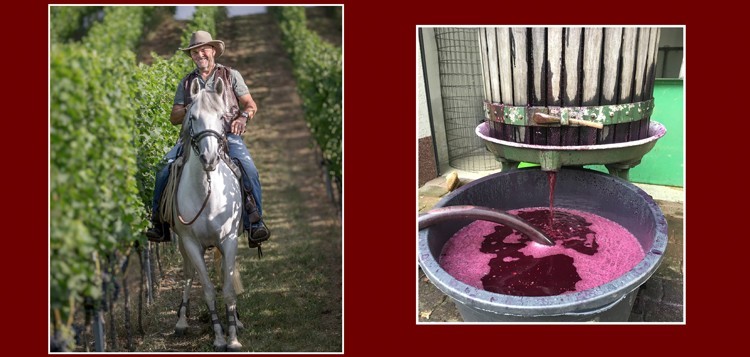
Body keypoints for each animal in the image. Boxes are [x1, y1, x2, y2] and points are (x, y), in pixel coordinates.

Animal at [170, 77, 244, 350]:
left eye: (222, 116)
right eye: (192, 117)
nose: (210, 158)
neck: (208, 191)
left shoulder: (229, 239)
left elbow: (228, 287)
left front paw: (233, 337)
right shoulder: (191, 243)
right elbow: (208, 290)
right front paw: (219, 336)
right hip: (183, 245)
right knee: (189, 274)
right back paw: (181, 321)